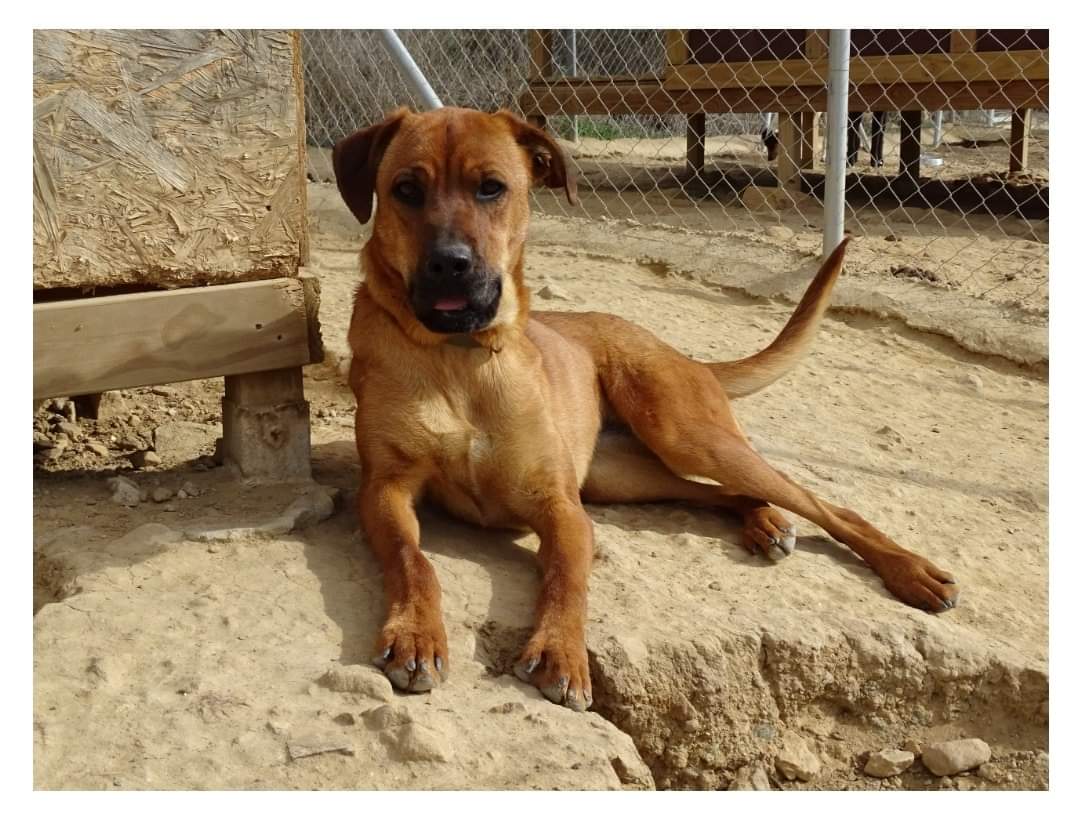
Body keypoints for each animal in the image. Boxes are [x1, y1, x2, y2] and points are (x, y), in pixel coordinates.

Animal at [332, 106, 958, 712]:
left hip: (686, 435)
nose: (450, 264)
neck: (461, 361)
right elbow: (413, 561)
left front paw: (561, 651)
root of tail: (686, 356)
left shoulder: (562, 507)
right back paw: (763, 523)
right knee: (720, 495)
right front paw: (416, 634)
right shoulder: (386, 490)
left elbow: (566, 578)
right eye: (406, 189)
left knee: (829, 506)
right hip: (624, 477)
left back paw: (910, 571)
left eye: (491, 188)